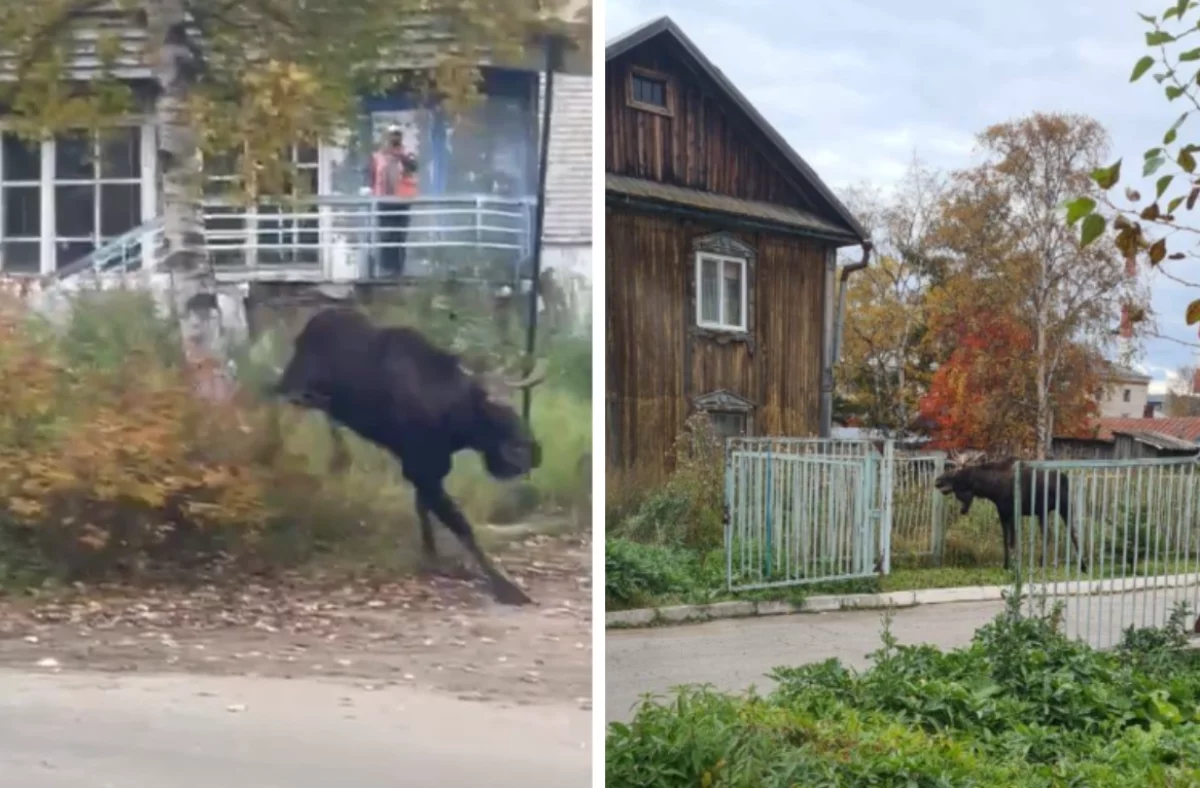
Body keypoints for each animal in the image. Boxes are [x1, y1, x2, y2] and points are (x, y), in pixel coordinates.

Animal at [270, 305, 547, 602]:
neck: (452, 423)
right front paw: (504, 586)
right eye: (490, 409)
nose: (533, 452)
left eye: (514, 406)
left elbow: (424, 512)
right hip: (292, 386)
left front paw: (435, 561)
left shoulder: (430, 470)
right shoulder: (420, 468)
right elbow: (461, 525)